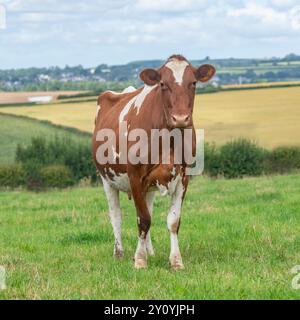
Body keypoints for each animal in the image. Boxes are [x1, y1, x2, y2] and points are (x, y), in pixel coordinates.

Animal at [92, 55, 216, 270]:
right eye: (162, 84)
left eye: (193, 83)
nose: (181, 118)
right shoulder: (134, 176)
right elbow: (143, 220)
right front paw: (140, 260)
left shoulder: (183, 177)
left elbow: (172, 221)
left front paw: (175, 261)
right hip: (107, 179)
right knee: (116, 216)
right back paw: (119, 253)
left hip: (148, 187)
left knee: (147, 210)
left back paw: (149, 250)